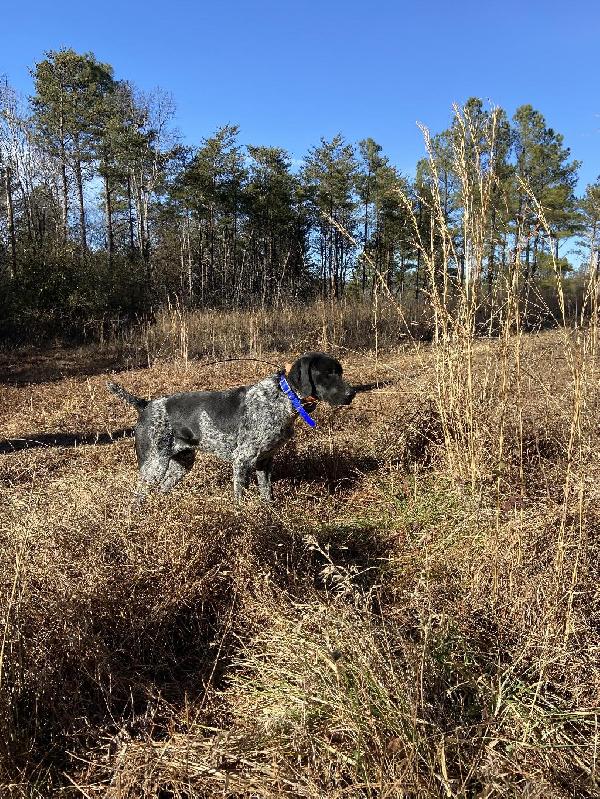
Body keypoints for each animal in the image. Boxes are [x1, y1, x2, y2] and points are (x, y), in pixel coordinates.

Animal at [107, 354, 354, 504]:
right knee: (137, 498)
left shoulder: (265, 461)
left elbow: (267, 495)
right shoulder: (242, 459)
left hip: (181, 464)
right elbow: (240, 498)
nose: (352, 394)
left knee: (161, 490)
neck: (283, 396)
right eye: (327, 373)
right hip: (153, 466)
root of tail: (145, 404)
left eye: (340, 372)